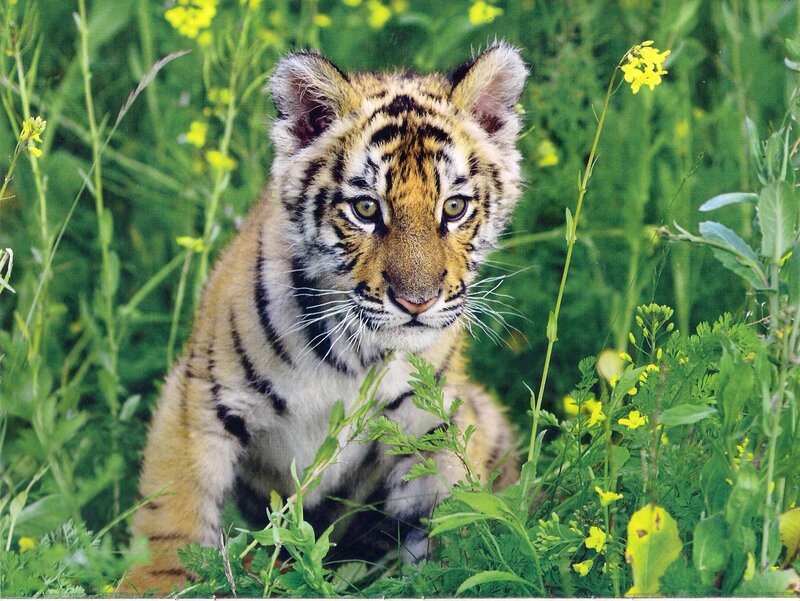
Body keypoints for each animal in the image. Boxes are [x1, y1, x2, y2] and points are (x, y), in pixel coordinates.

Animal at [121, 41, 528, 594]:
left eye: (454, 207)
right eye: (366, 209)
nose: (416, 302)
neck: (353, 353)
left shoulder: (435, 423)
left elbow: (456, 511)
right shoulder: (199, 401)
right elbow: (171, 521)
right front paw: (156, 583)